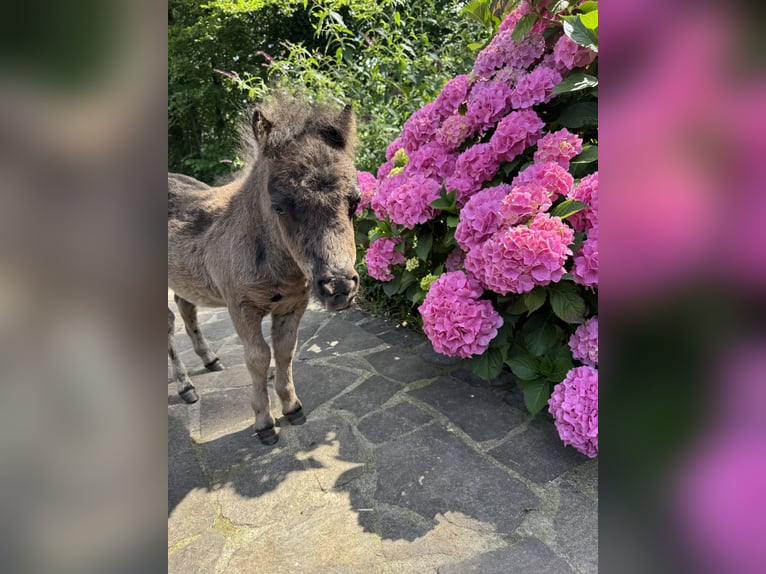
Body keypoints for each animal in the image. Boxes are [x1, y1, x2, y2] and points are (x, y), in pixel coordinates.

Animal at [168, 95, 360, 445]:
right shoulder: (242, 307)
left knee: (185, 308)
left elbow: (284, 350)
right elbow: (258, 358)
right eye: (280, 206)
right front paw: (264, 422)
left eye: (355, 201)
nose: (339, 287)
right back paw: (186, 387)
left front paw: (292, 407)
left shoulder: (293, 304)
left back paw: (210, 359)